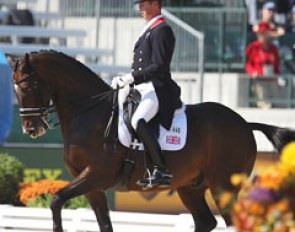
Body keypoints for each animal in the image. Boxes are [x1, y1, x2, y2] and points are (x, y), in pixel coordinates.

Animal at [9, 49, 295, 231]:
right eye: (15, 88)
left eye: (28, 86)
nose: (31, 129)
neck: (88, 113)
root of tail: (245, 123)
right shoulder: (91, 185)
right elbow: (103, 223)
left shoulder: (95, 175)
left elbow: (56, 200)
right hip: (190, 187)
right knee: (206, 222)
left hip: (223, 186)